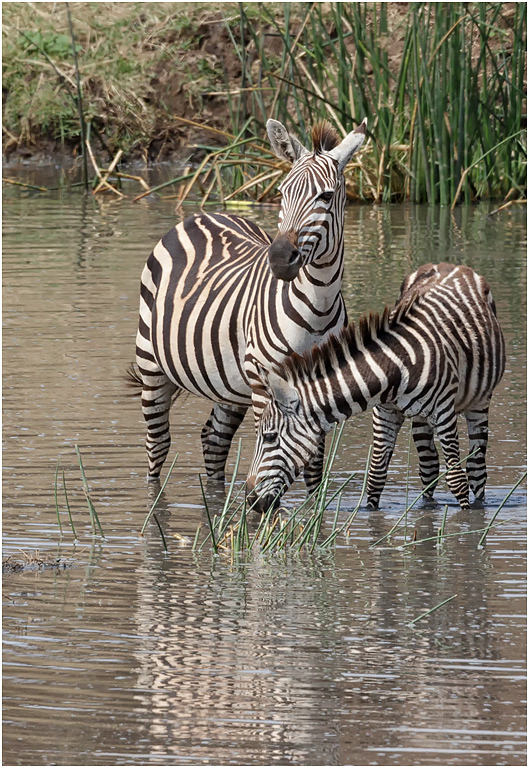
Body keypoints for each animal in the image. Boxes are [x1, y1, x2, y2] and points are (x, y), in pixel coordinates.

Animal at [130, 117, 367, 487]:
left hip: (228, 383)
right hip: (151, 362)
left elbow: (314, 466)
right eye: (282, 192)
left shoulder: (319, 382)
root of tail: (201, 215)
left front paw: (315, 505)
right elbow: (268, 445)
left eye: (326, 196)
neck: (318, 305)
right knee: (158, 445)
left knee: (213, 440)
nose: (280, 258)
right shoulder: (263, 378)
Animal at [246, 263, 506, 512]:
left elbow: (456, 479)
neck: (396, 366)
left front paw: (467, 519)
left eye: (269, 437)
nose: (250, 499)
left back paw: (479, 504)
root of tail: (453, 265)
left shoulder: (444, 412)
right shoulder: (385, 411)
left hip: (479, 401)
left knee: (476, 468)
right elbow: (376, 475)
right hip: (421, 416)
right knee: (429, 465)